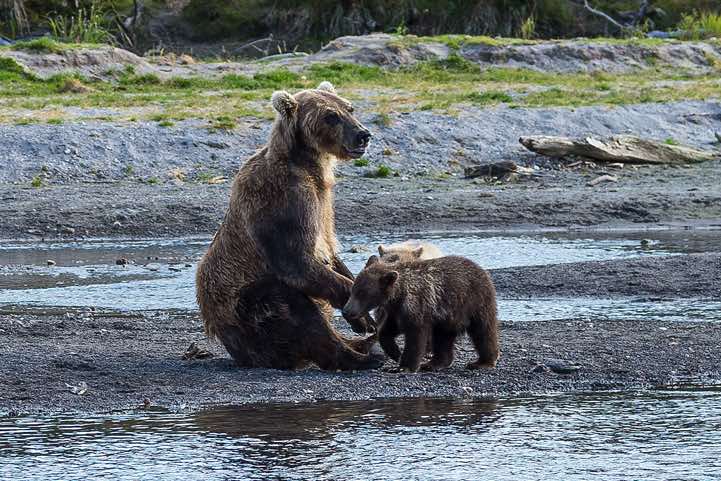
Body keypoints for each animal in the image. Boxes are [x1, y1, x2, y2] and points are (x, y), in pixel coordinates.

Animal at [196, 81, 382, 371]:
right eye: (331, 116)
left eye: (349, 108)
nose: (363, 135)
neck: (310, 166)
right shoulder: (284, 200)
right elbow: (296, 261)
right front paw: (361, 318)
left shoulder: (324, 205)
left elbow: (330, 251)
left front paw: (362, 315)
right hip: (250, 318)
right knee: (293, 305)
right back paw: (358, 357)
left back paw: (363, 345)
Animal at [342, 255, 499, 372]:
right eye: (354, 289)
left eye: (363, 293)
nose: (346, 311)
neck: (398, 295)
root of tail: (482, 269)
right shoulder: (395, 311)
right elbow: (387, 331)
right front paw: (396, 353)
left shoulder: (417, 306)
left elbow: (415, 337)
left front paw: (403, 367)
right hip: (447, 316)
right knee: (443, 337)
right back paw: (434, 363)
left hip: (475, 301)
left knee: (483, 331)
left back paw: (483, 362)